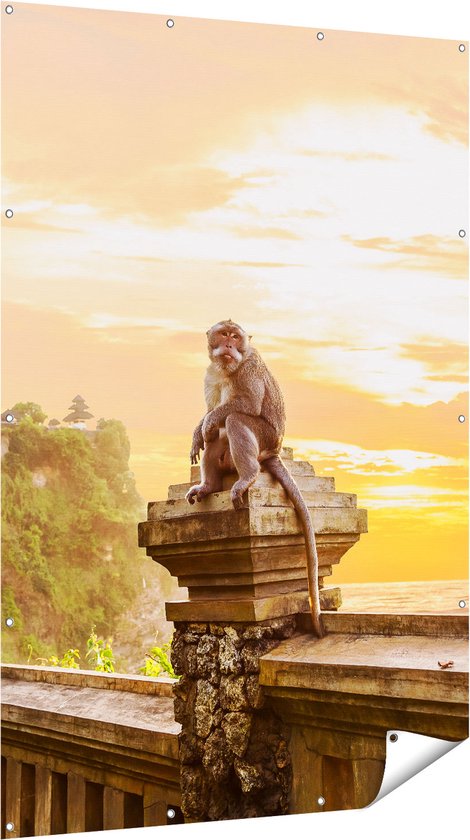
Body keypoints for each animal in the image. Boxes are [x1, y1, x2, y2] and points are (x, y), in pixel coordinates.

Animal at [186, 319, 325, 638]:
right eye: (223, 334)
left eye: (236, 337)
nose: (228, 345)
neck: (227, 369)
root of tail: (274, 450)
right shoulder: (210, 373)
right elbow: (209, 415)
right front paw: (197, 433)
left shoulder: (249, 367)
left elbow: (245, 403)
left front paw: (207, 423)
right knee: (216, 437)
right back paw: (209, 485)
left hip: (265, 439)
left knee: (234, 419)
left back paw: (247, 476)